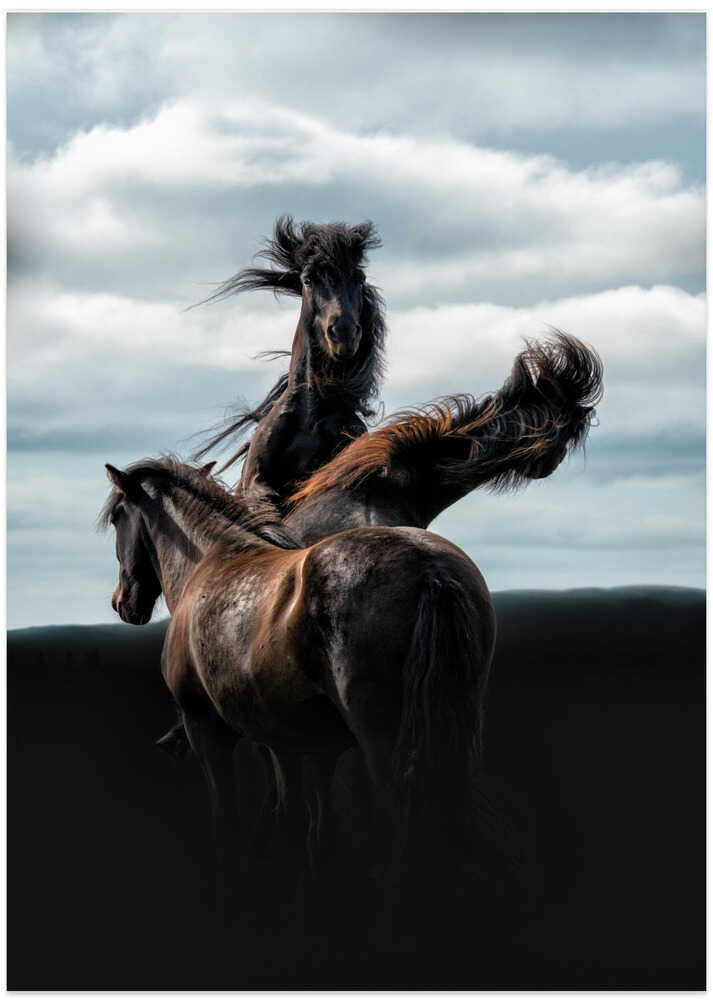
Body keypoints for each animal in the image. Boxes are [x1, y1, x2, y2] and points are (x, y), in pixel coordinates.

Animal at [100, 456, 495, 914]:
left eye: (117, 516)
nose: (123, 602)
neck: (211, 563)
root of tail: (429, 567)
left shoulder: (208, 733)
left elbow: (229, 825)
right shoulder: (300, 748)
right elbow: (312, 834)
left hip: (384, 743)